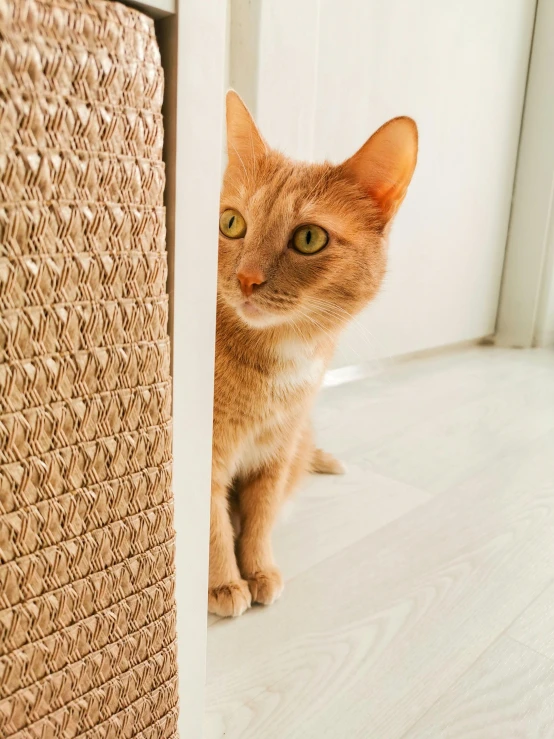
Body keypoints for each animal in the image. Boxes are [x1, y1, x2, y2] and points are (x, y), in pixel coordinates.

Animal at [209, 89, 416, 616]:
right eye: (231, 223)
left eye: (309, 238)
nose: (246, 278)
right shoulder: (209, 453)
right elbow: (213, 525)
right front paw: (223, 583)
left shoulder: (277, 452)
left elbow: (260, 519)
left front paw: (259, 568)